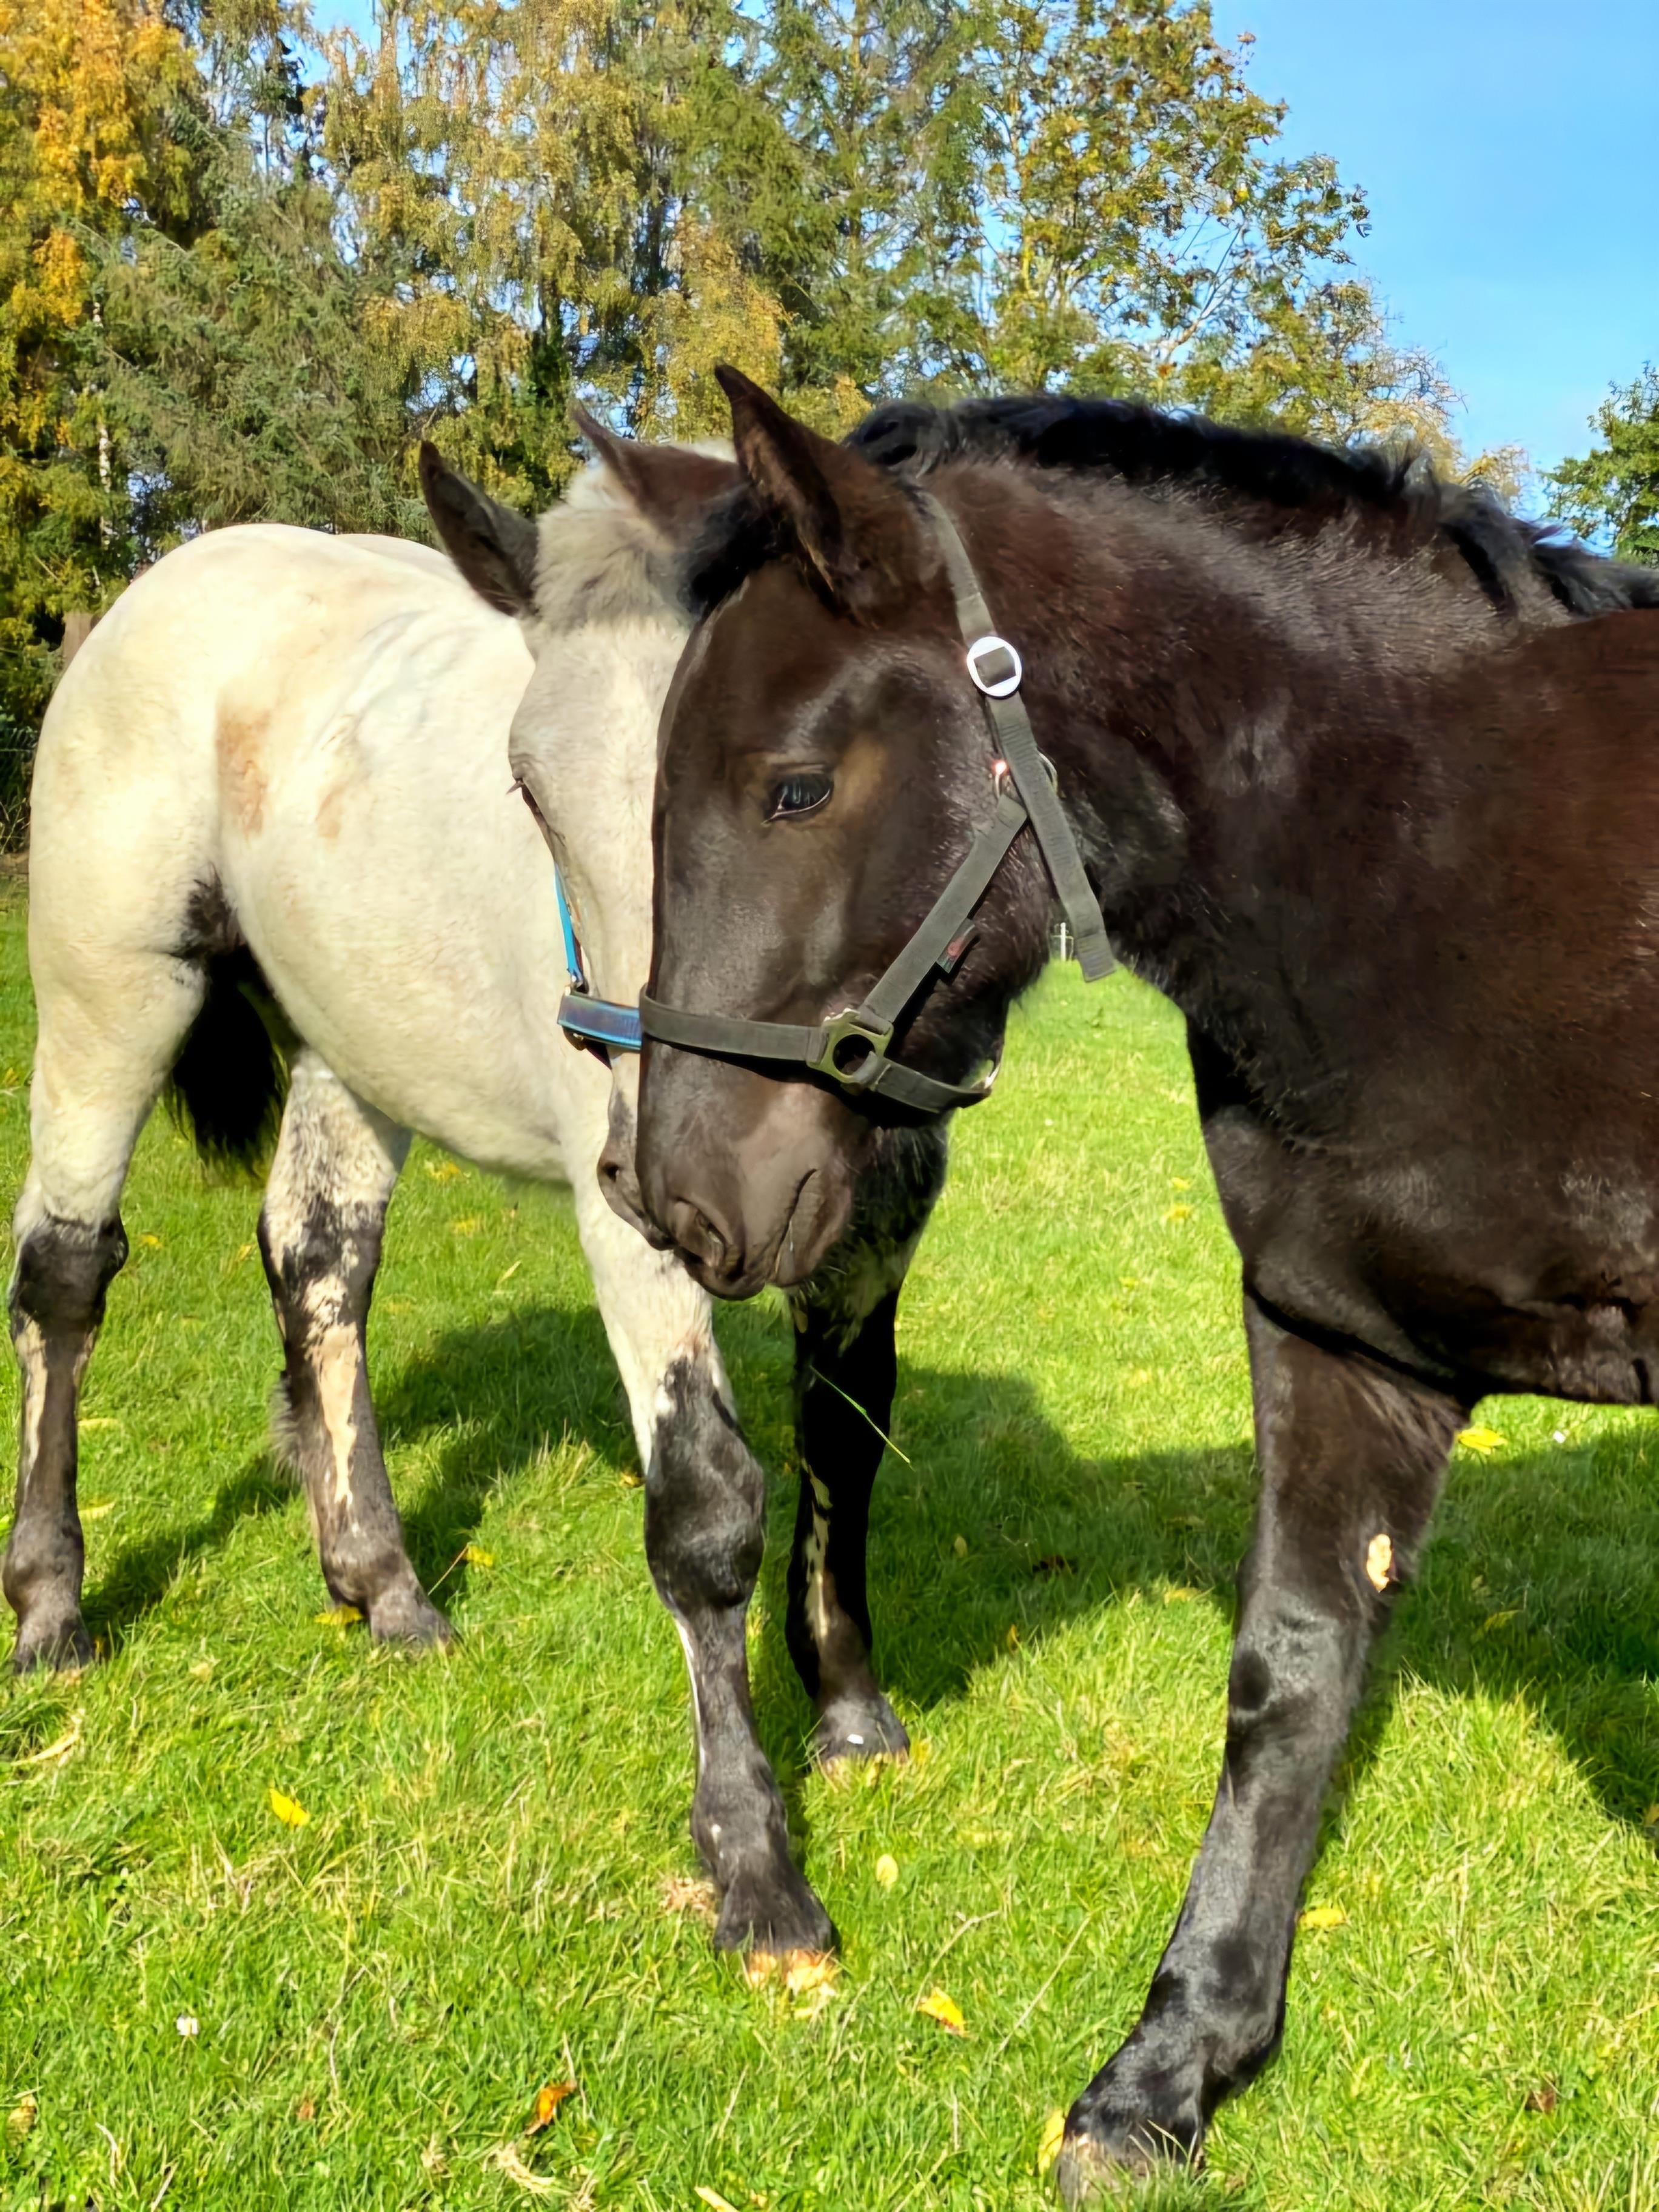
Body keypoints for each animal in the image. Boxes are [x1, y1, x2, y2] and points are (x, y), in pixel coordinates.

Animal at [6, 422, 946, 1965]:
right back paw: (51, 1607)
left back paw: (380, 1583)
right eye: (530, 788)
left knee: (319, 1266)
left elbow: (845, 1435)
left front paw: (853, 1713)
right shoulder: (638, 1226)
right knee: (66, 1277)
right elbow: (704, 1508)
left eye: (797, 785)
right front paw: (754, 1871)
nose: (661, 1146)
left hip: (350, 1047)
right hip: (111, 998)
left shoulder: (878, 1210)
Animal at [619, 366, 1659, 2190]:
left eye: (795, 788)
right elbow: (1287, 1679)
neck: (1457, 865)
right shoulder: (1336, 1339)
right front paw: (1174, 2063)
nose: (675, 1198)